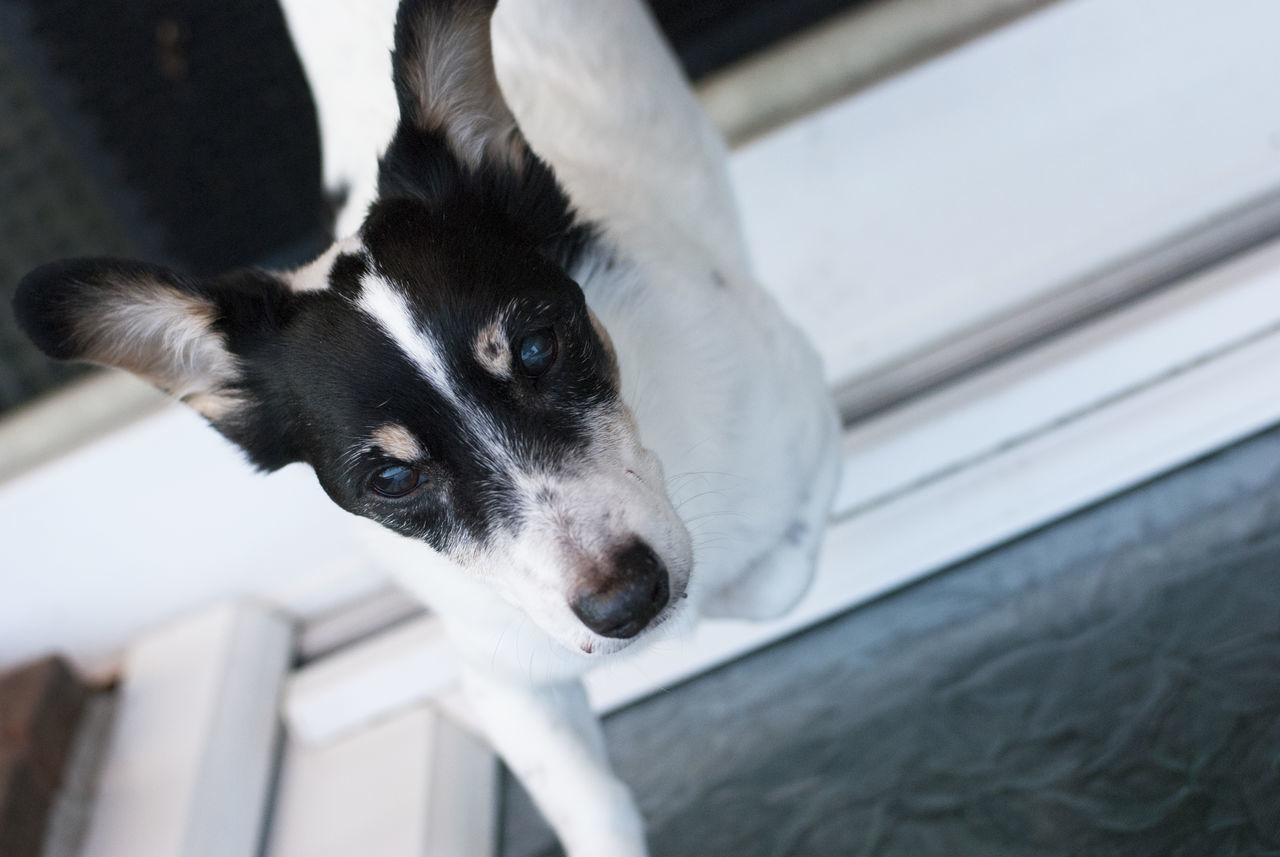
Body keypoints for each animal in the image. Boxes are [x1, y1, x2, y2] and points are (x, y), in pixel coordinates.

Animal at [20, 3, 844, 854]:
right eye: (392, 478)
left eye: (538, 347)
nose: (627, 603)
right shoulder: (505, 681)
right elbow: (592, 804)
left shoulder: (807, 417)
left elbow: (774, 579)